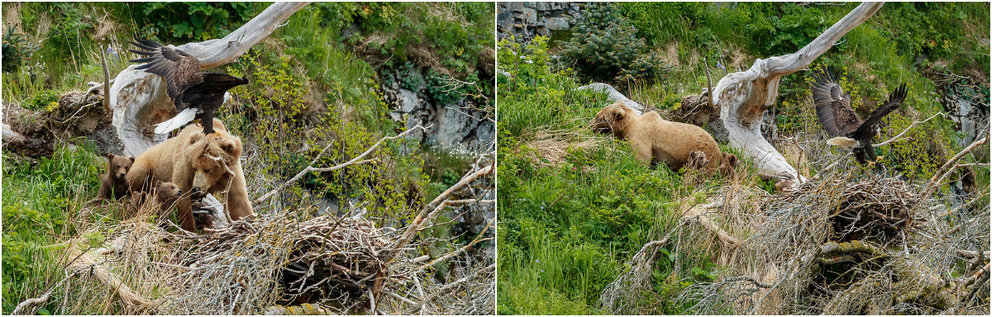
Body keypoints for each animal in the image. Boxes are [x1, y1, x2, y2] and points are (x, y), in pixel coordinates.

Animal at [126, 118, 256, 230]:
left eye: (208, 169)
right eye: (195, 167)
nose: (196, 188)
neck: (215, 179)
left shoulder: (230, 174)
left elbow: (239, 201)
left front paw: (248, 221)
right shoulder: (184, 166)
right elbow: (183, 200)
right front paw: (191, 230)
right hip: (146, 167)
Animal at [588, 100, 736, 175]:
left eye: (598, 117)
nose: (590, 127)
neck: (629, 126)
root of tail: (719, 152)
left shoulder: (642, 135)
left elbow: (641, 157)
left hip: (703, 153)